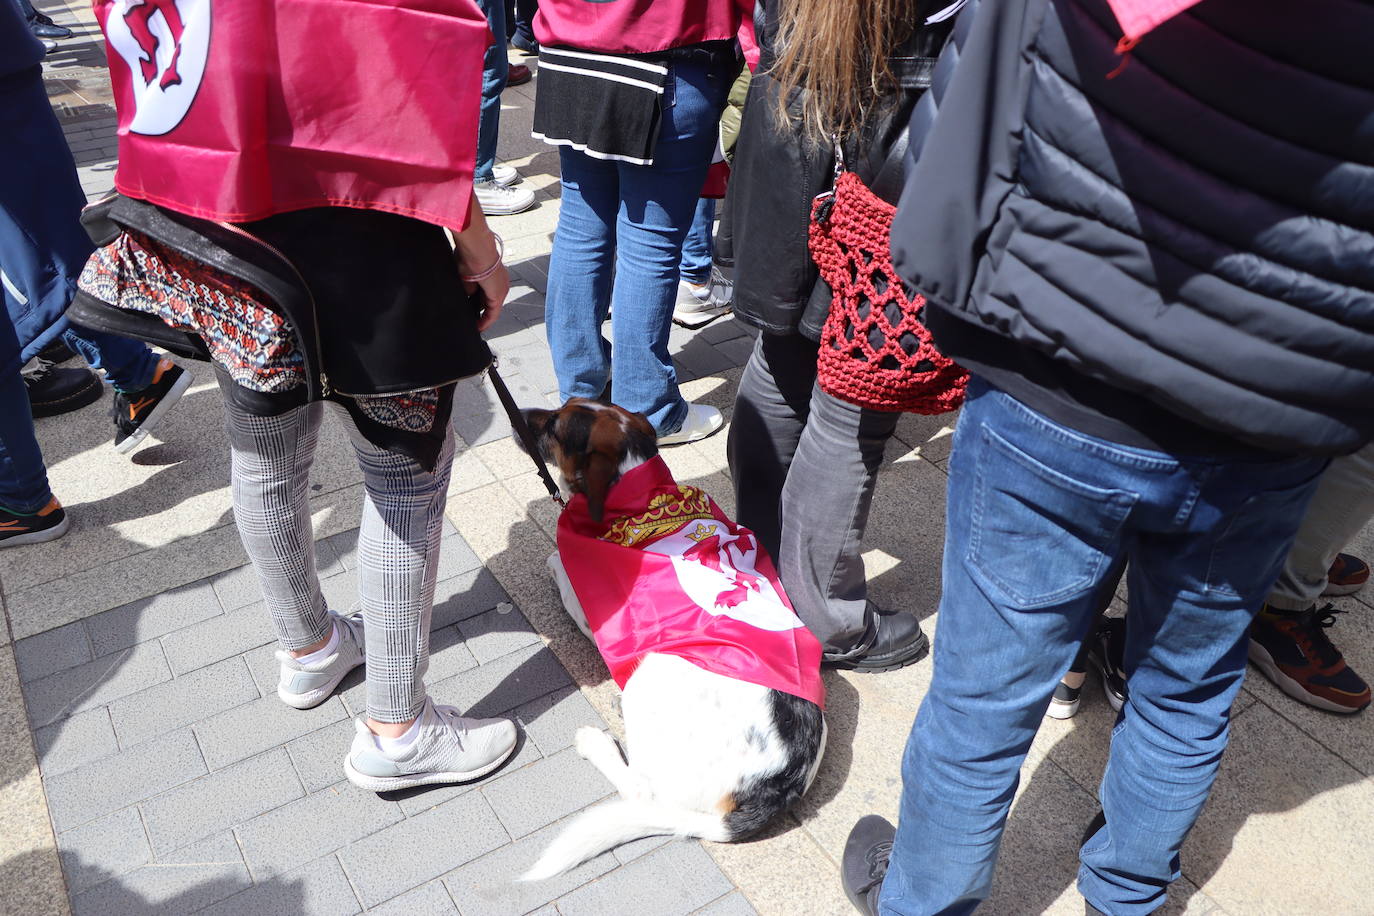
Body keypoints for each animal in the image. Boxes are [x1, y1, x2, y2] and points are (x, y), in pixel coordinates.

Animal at [516, 398, 824, 878]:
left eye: (554, 425)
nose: (518, 417)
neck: (640, 494)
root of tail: (776, 785)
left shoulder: (593, 610)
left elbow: (558, 566)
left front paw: (554, 561)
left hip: (651, 672)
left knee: (642, 793)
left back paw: (597, 743)